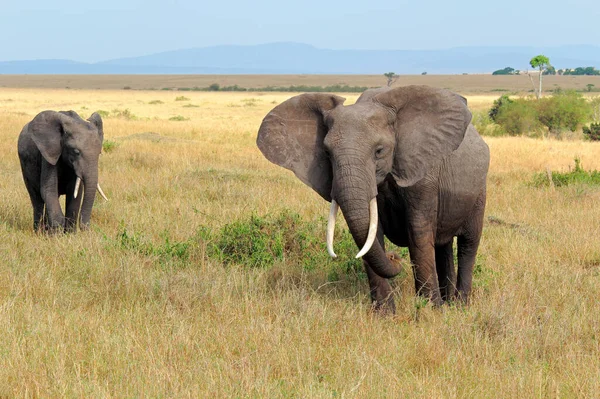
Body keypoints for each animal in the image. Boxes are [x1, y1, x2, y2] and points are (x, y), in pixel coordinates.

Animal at [255, 86, 490, 314]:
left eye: (379, 151)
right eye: (327, 153)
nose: (395, 257)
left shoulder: (423, 173)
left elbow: (418, 231)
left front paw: (431, 312)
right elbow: (371, 234)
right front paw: (385, 314)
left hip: (480, 189)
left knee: (468, 243)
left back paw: (460, 306)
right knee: (443, 246)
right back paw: (449, 302)